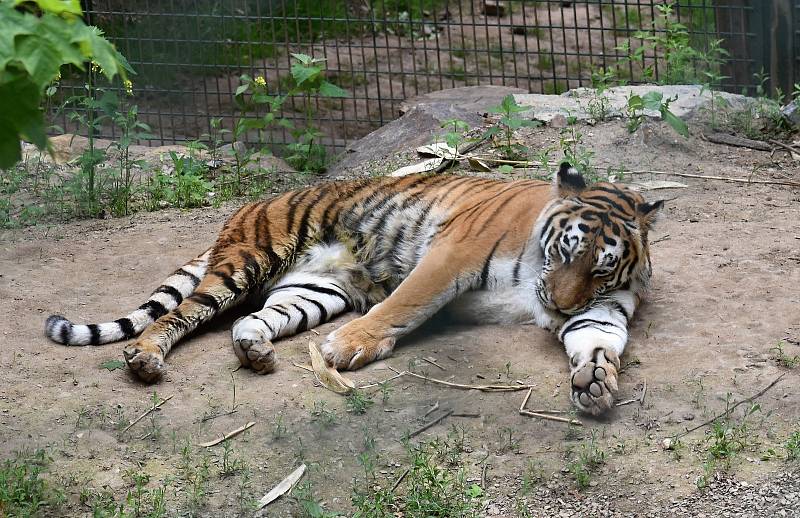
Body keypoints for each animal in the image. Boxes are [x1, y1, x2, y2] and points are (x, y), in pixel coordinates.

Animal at [42, 165, 664, 416]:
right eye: (566, 252)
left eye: (601, 271)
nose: (557, 306)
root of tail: (252, 205)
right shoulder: (452, 253)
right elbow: (406, 302)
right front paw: (346, 349)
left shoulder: (605, 309)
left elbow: (597, 341)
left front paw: (596, 383)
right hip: (246, 260)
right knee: (175, 317)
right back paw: (145, 359)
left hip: (317, 289)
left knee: (252, 319)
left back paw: (256, 350)